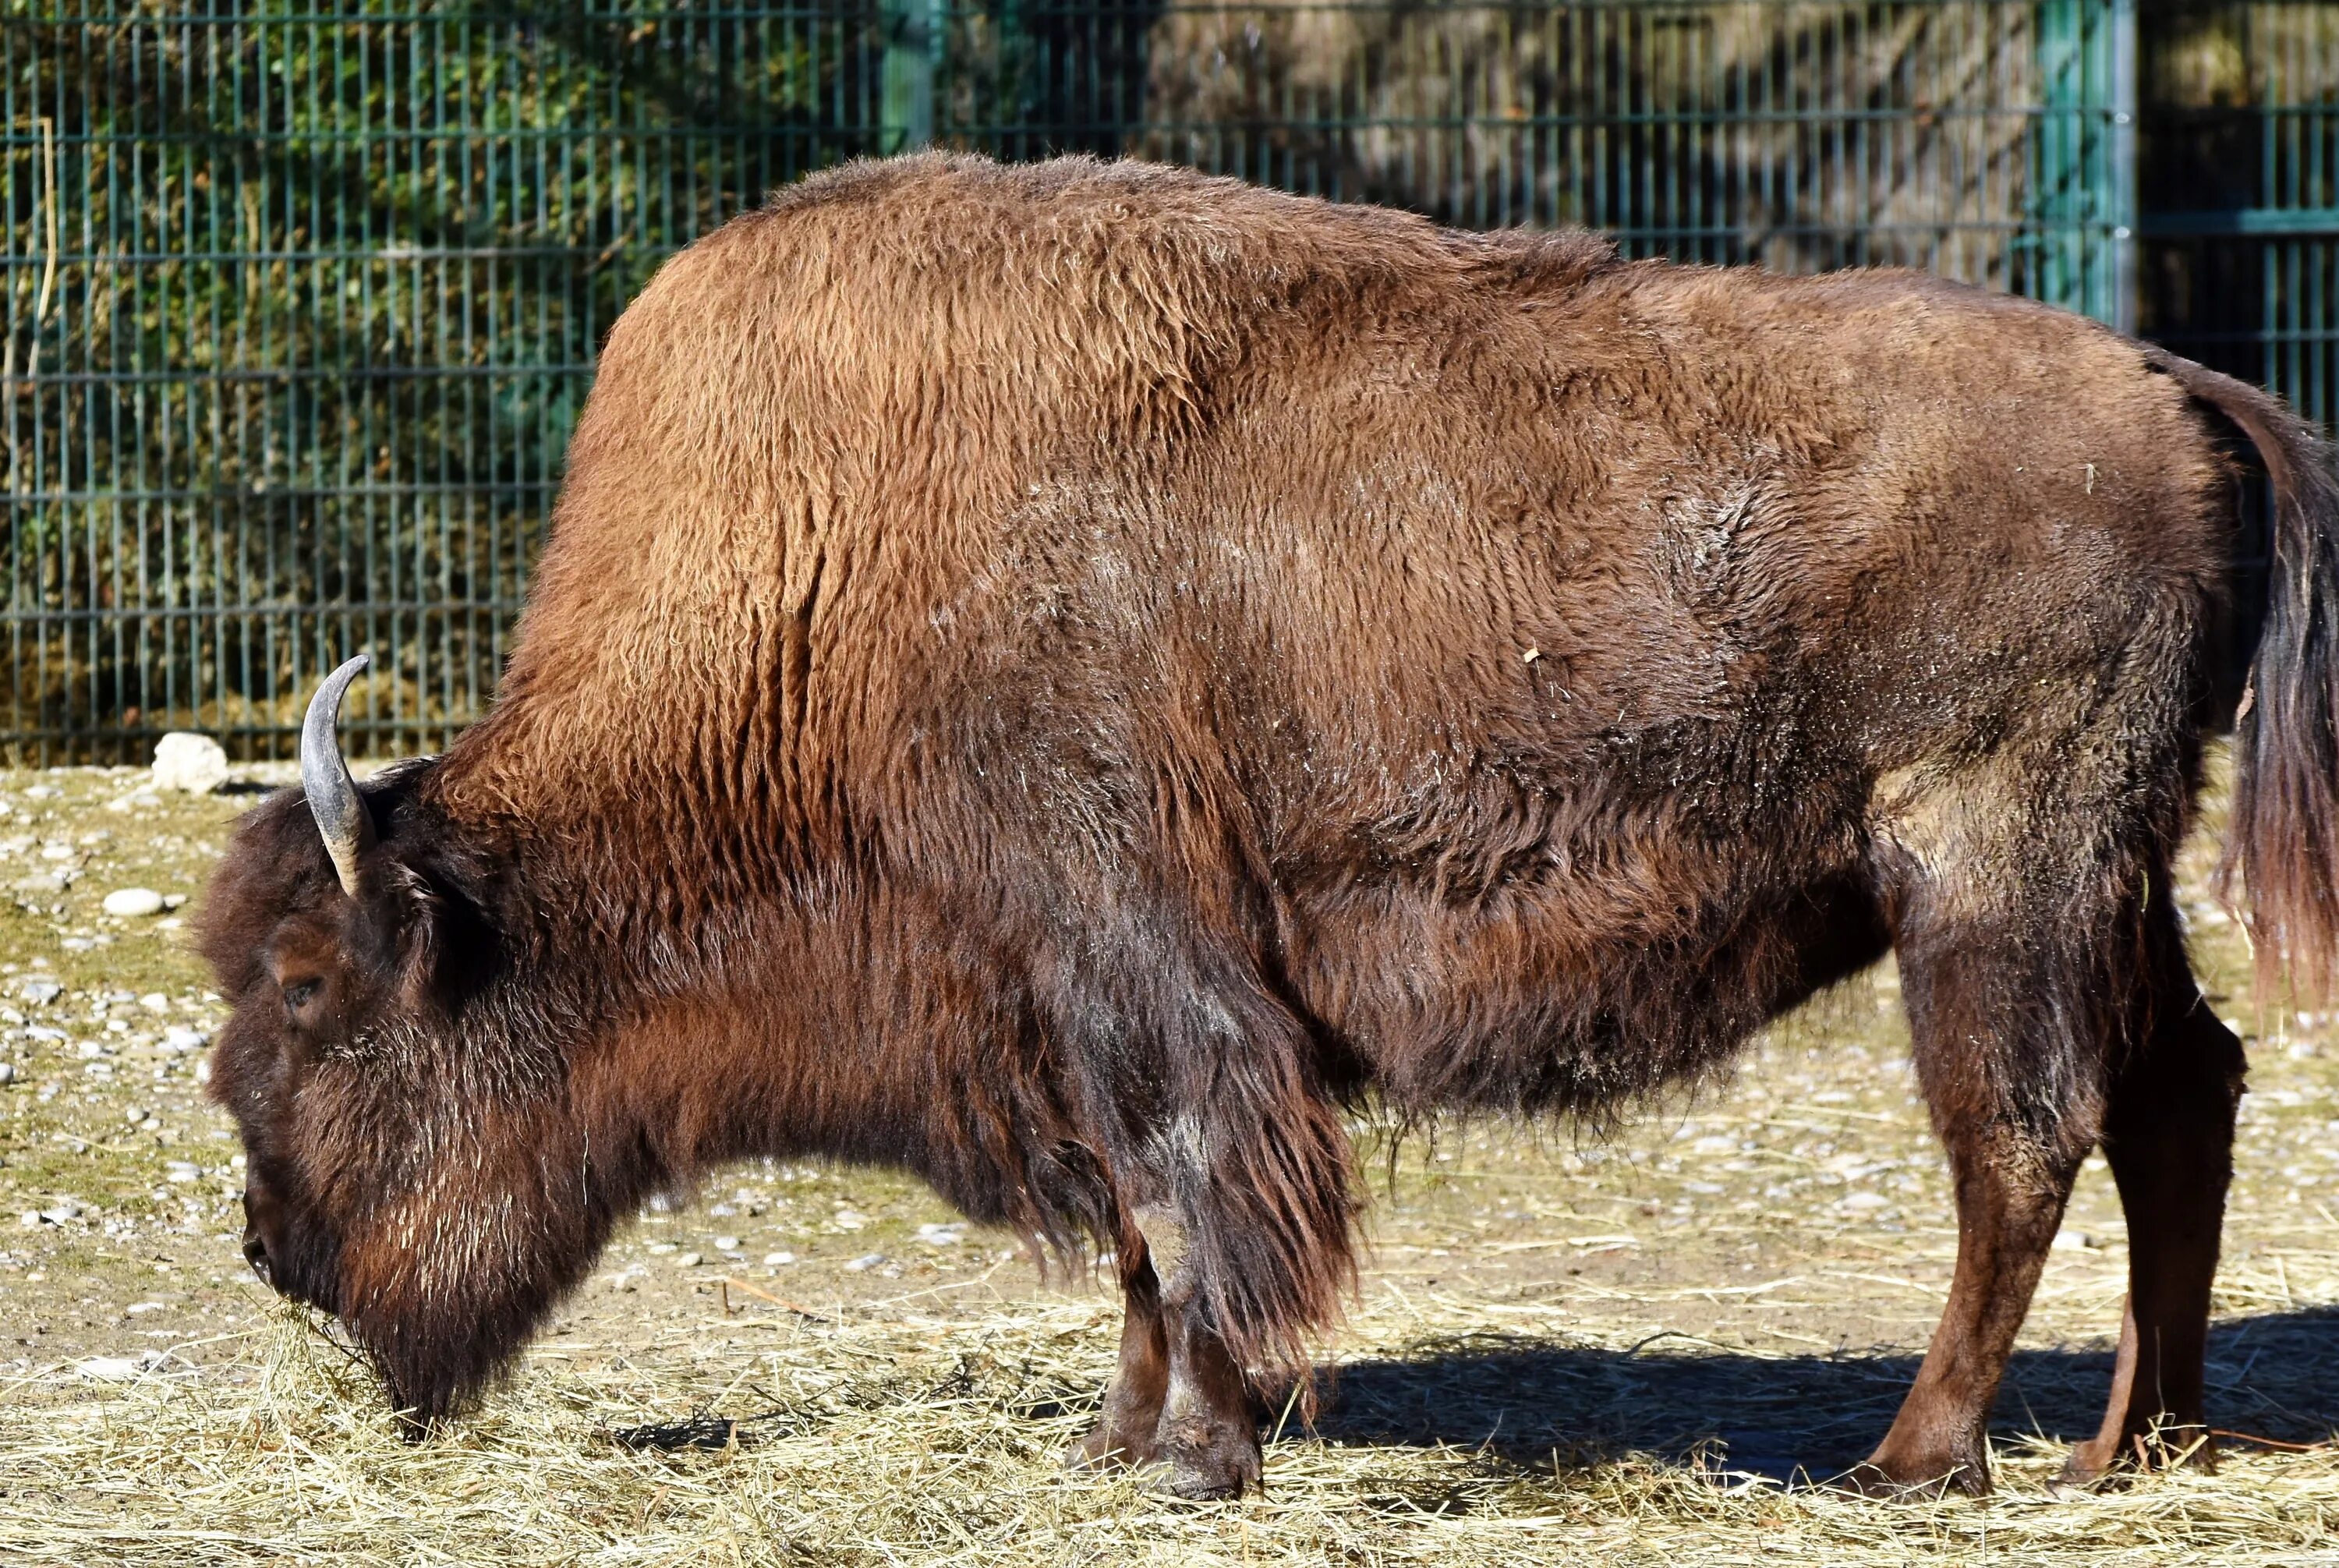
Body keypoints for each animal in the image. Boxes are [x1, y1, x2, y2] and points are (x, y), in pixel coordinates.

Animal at [201, 153, 2339, 1506]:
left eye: (312, 995)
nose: (273, 1250)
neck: (822, 581)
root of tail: (2170, 381)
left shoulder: (1138, 963)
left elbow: (1182, 1198)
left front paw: (1198, 1452)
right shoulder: (1059, 1002)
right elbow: (1139, 1238)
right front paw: (1123, 1436)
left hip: (1988, 862)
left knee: (2023, 1134)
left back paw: (1912, 1459)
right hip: (2110, 873)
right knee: (2180, 1091)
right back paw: (2133, 1441)